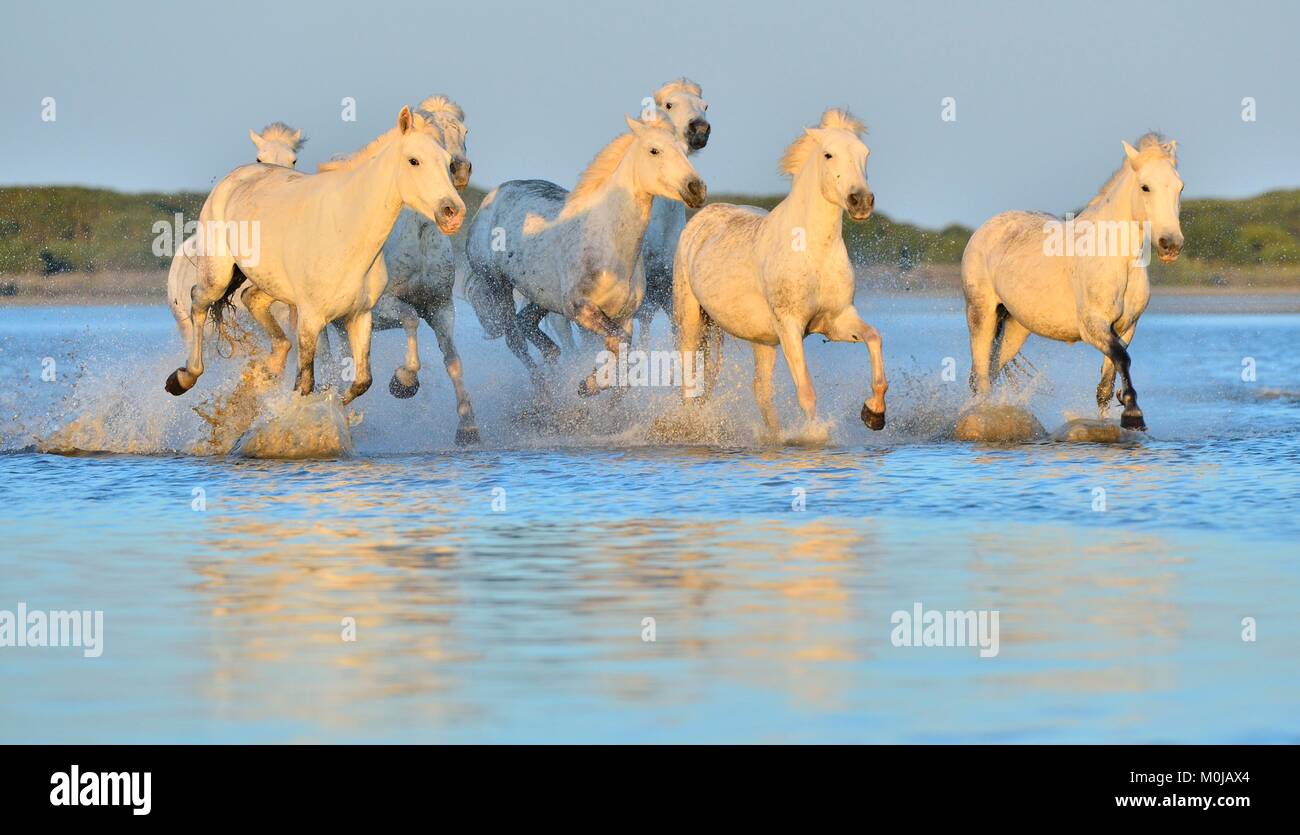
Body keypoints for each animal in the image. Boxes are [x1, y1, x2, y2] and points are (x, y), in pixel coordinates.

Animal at [465, 114, 706, 396]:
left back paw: (553, 362)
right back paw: (544, 390)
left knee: (527, 325)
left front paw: (596, 383)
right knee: (515, 340)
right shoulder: (580, 308)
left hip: (541, 297)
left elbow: (621, 349)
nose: (696, 189)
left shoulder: (625, 316)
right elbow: (619, 341)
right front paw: (590, 383)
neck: (608, 243)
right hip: (497, 284)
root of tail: (491, 198)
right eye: (654, 150)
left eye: (685, 151)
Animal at [672, 108, 887, 438]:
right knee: (690, 383)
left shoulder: (836, 320)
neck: (812, 252)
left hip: (761, 341)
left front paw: (874, 414)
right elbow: (806, 391)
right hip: (691, 322)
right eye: (828, 154)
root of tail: (701, 217)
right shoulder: (790, 327)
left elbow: (874, 339)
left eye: (865, 153)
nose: (861, 201)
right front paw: (814, 436)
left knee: (761, 391)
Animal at [961, 133, 1184, 431]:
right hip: (980, 314)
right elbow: (1123, 360)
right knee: (981, 377)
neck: (1118, 257)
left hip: (1016, 327)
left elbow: (1106, 385)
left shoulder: (1125, 328)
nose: (1171, 244)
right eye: (1145, 187)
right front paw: (1133, 415)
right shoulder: (1093, 327)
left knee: (991, 370)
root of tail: (985, 228)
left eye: (1180, 187)